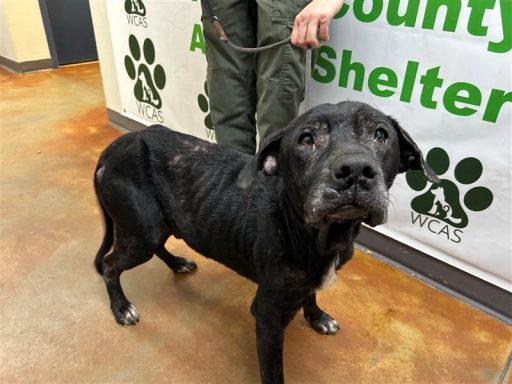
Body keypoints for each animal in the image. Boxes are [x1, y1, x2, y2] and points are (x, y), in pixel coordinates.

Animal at [94, 100, 438, 382]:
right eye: (306, 140)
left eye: (381, 134)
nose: (355, 169)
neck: (316, 233)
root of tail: (116, 145)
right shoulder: (267, 316)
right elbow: (273, 373)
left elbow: (311, 295)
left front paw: (317, 317)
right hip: (142, 232)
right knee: (110, 266)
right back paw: (121, 308)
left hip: (156, 225)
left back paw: (177, 263)